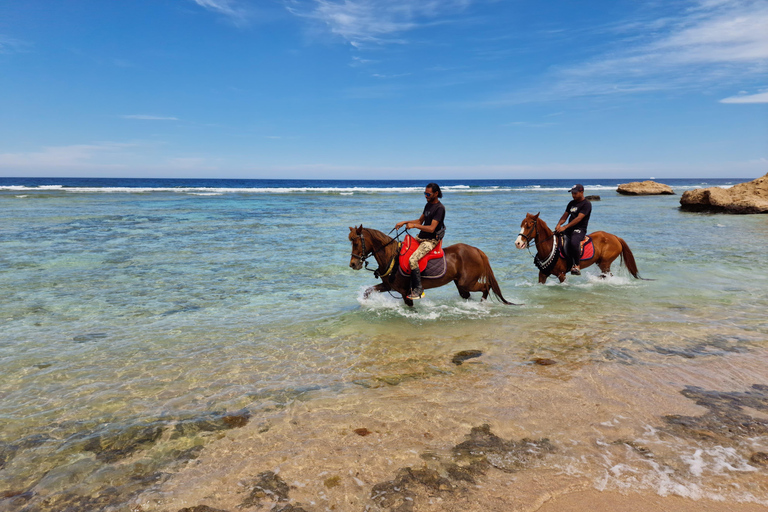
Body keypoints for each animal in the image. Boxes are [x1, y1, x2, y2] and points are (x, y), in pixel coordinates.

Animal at [349, 225, 516, 307]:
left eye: (356, 243)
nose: (353, 264)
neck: (392, 257)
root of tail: (476, 250)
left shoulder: (404, 292)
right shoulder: (389, 286)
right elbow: (368, 291)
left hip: (467, 282)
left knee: (486, 286)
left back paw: (482, 305)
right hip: (461, 284)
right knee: (470, 294)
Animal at [514, 213, 642, 284]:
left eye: (529, 226)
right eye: (521, 225)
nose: (518, 243)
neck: (550, 247)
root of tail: (615, 237)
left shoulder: (561, 275)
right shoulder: (543, 274)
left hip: (605, 263)